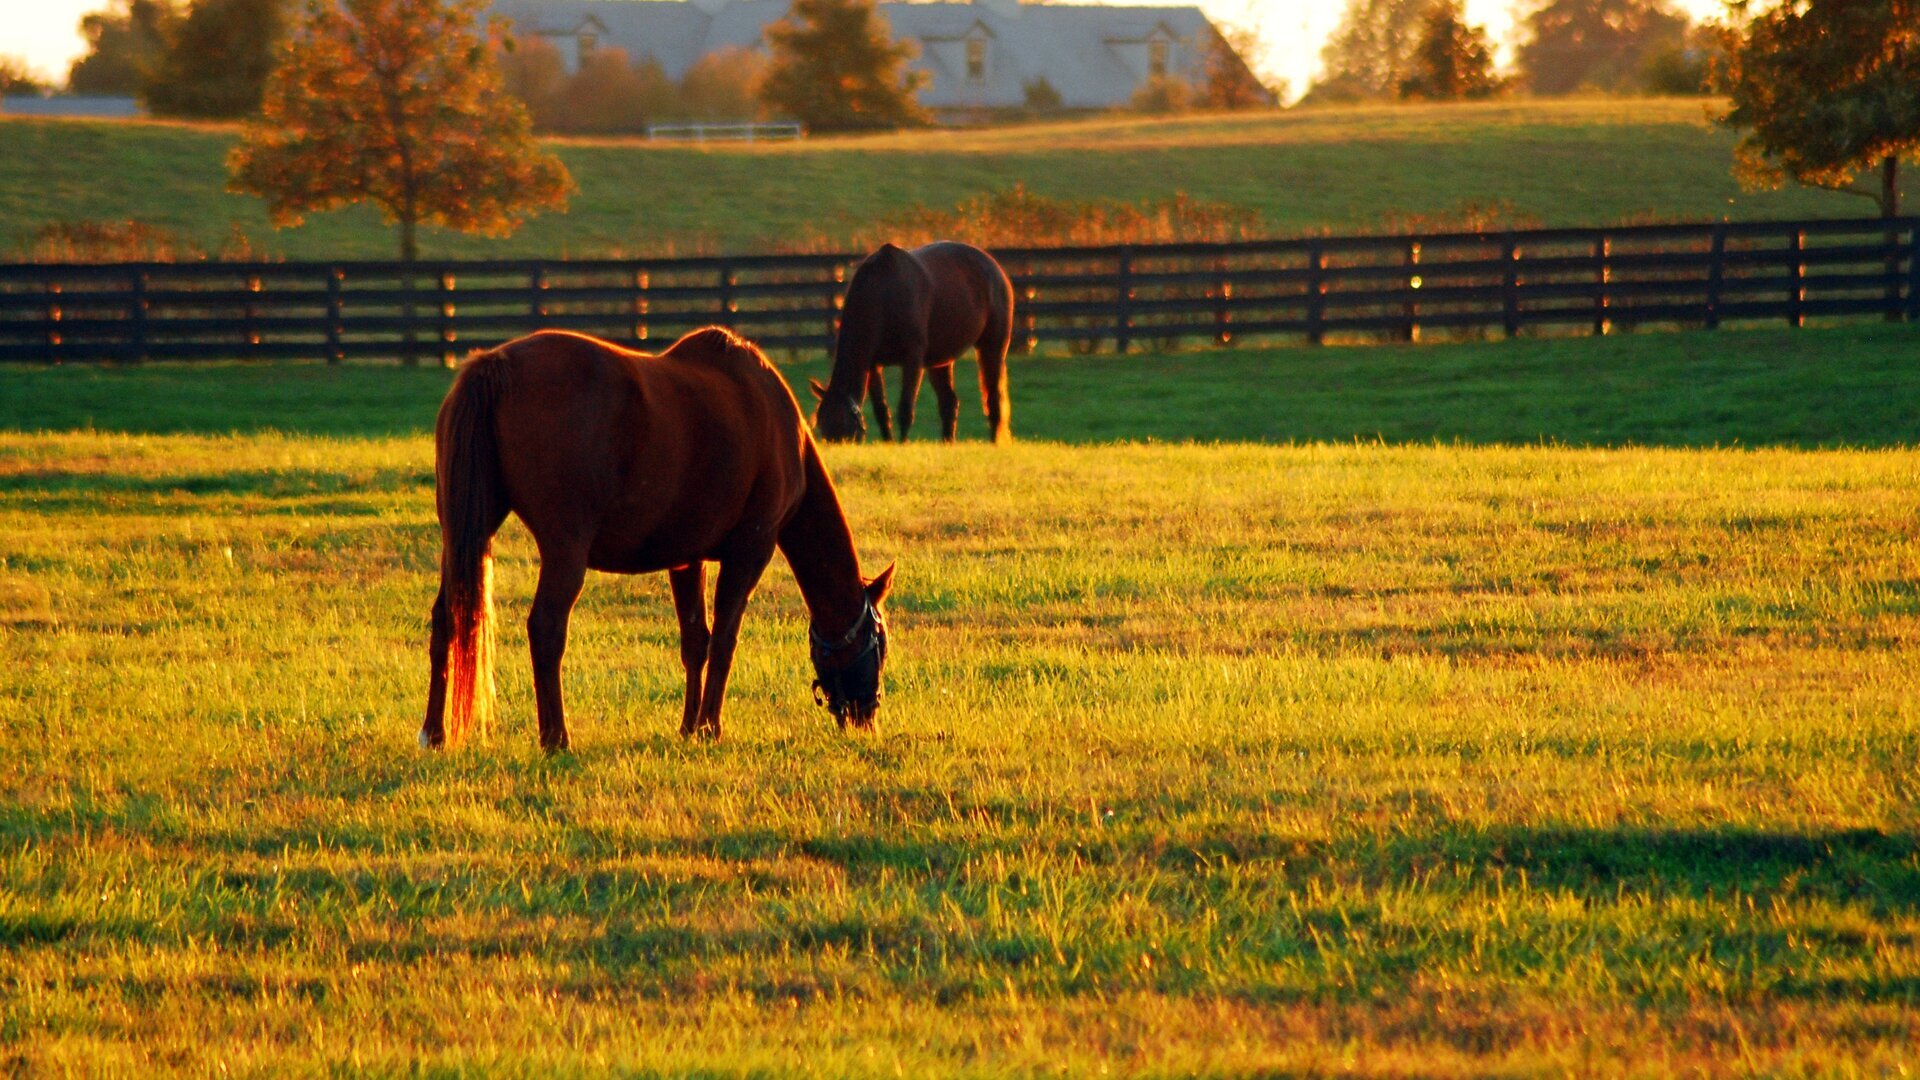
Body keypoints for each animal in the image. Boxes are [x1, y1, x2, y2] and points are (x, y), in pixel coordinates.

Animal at [421, 327, 895, 752]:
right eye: (881, 640)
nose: (867, 715)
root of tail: (496, 364)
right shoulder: (750, 550)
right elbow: (724, 640)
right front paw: (710, 727)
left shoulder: (686, 559)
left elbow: (696, 642)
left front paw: (688, 727)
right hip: (565, 549)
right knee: (546, 628)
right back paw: (556, 738)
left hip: (463, 532)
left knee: (446, 617)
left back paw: (434, 733)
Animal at [810, 241, 1014, 444]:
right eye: (822, 428)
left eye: (846, 429)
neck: (884, 294)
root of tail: (994, 267)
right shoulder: (873, 365)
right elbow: (881, 410)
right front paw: (889, 444)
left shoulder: (912, 360)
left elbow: (905, 409)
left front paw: (902, 444)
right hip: (940, 359)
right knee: (949, 402)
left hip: (991, 348)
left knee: (993, 398)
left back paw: (993, 442)